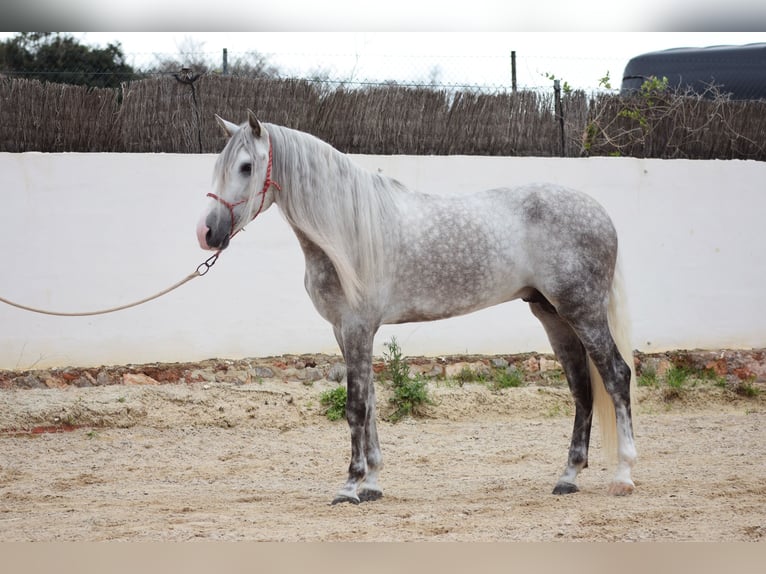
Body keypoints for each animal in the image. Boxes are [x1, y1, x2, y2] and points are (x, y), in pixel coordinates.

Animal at [195, 111, 640, 504]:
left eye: (247, 167)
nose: (208, 232)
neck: (347, 230)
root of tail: (599, 212)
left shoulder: (357, 327)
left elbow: (356, 407)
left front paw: (349, 486)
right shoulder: (345, 330)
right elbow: (371, 403)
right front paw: (372, 485)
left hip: (583, 311)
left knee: (616, 376)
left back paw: (624, 475)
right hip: (552, 314)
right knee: (582, 388)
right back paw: (568, 477)